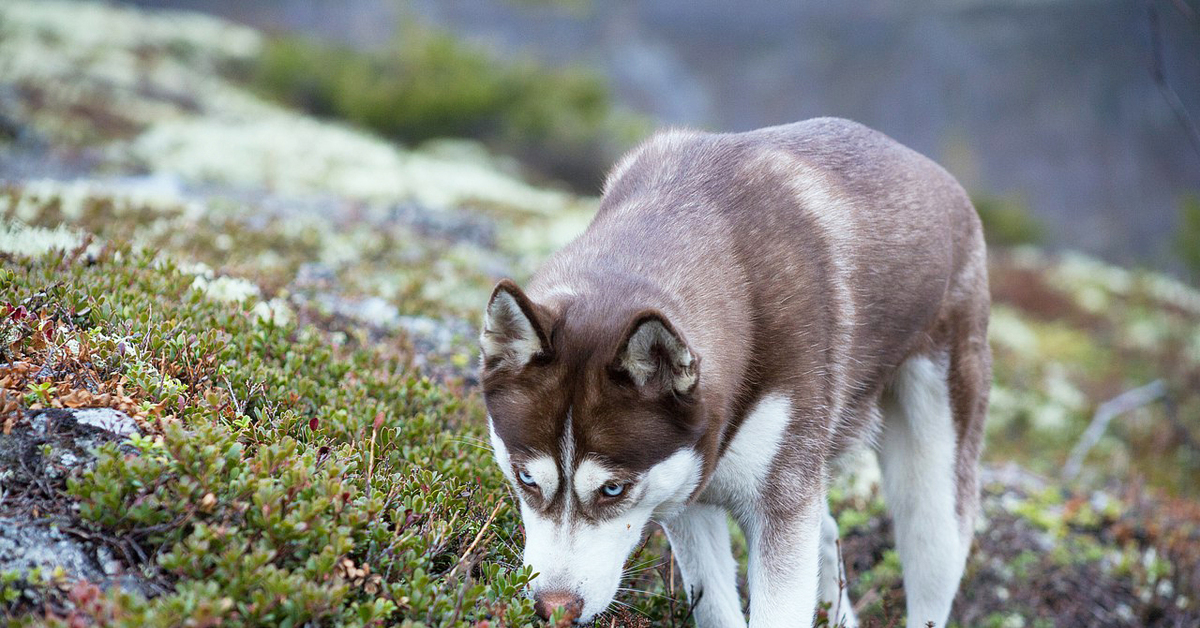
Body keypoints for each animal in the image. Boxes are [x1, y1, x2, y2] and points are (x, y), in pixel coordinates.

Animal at [477, 116, 993, 624]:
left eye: (612, 488)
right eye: (526, 479)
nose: (554, 607)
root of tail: (938, 176)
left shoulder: (778, 508)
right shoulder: (688, 494)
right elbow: (717, 607)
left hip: (933, 506)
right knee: (827, 532)